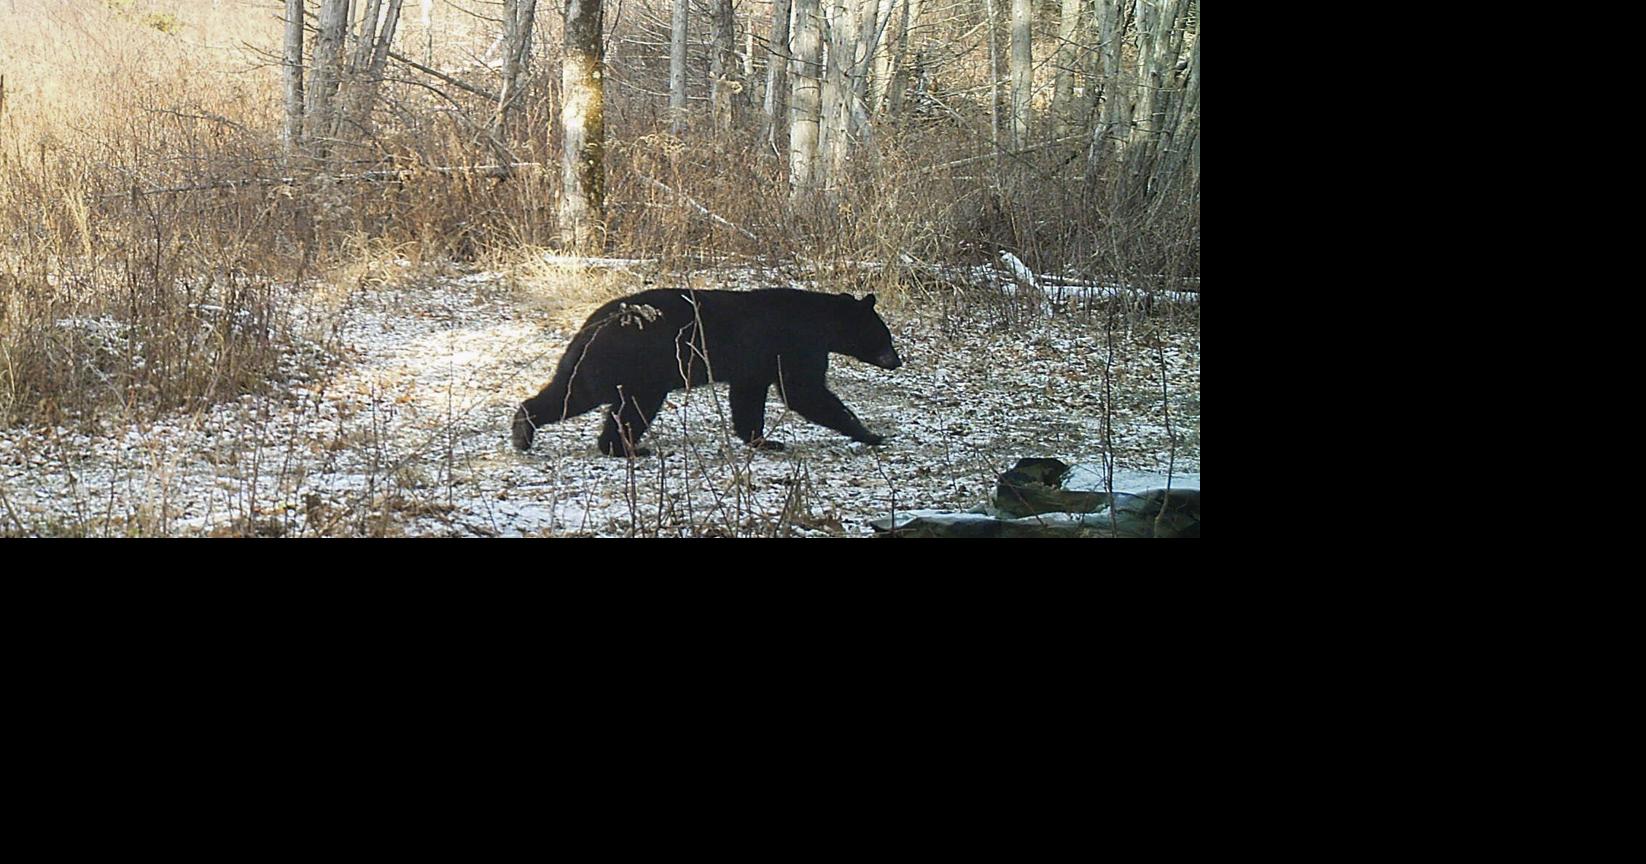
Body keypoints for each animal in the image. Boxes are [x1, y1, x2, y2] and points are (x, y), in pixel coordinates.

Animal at [511, 288, 903, 457]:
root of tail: (593, 323)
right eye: (885, 335)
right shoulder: (795, 345)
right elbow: (804, 391)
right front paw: (870, 434)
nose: (897, 360)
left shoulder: (754, 364)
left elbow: (748, 398)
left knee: (581, 395)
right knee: (597, 399)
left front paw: (763, 439)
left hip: (610, 366)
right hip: (627, 364)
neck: (822, 321)